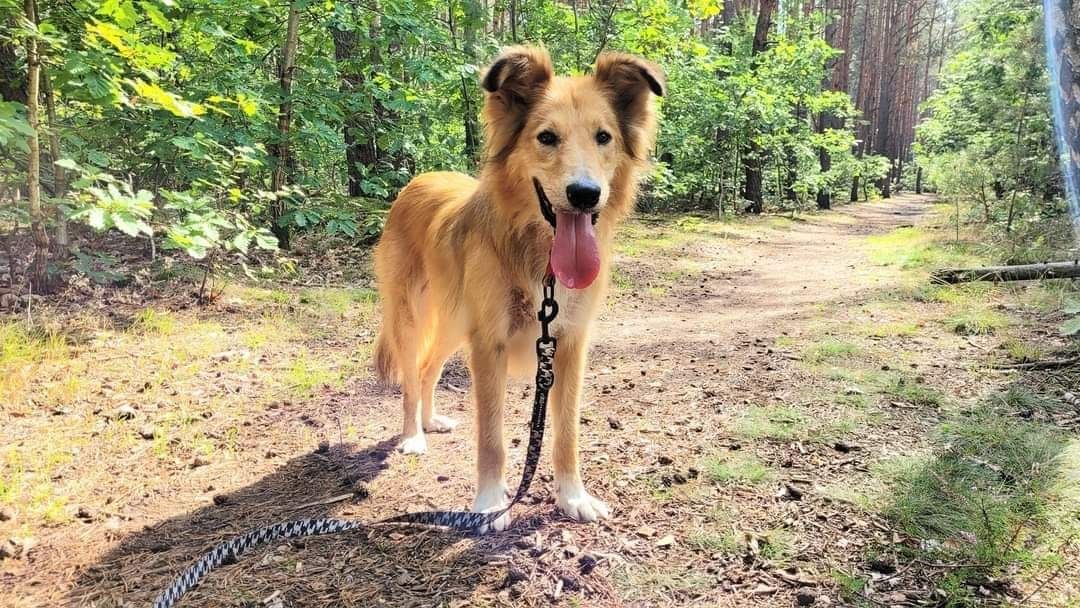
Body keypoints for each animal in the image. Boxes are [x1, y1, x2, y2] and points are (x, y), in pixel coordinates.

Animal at [373, 46, 665, 533]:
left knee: (430, 366)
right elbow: (491, 436)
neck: (542, 260)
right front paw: (491, 503)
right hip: (411, 315)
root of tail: (420, 178)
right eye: (546, 137)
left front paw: (573, 497)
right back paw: (414, 434)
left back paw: (431, 421)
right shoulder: (489, 343)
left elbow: (566, 433)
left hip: (455, 323)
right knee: (413, 374)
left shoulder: (568, 344)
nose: (585, 194)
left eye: (603, 137)